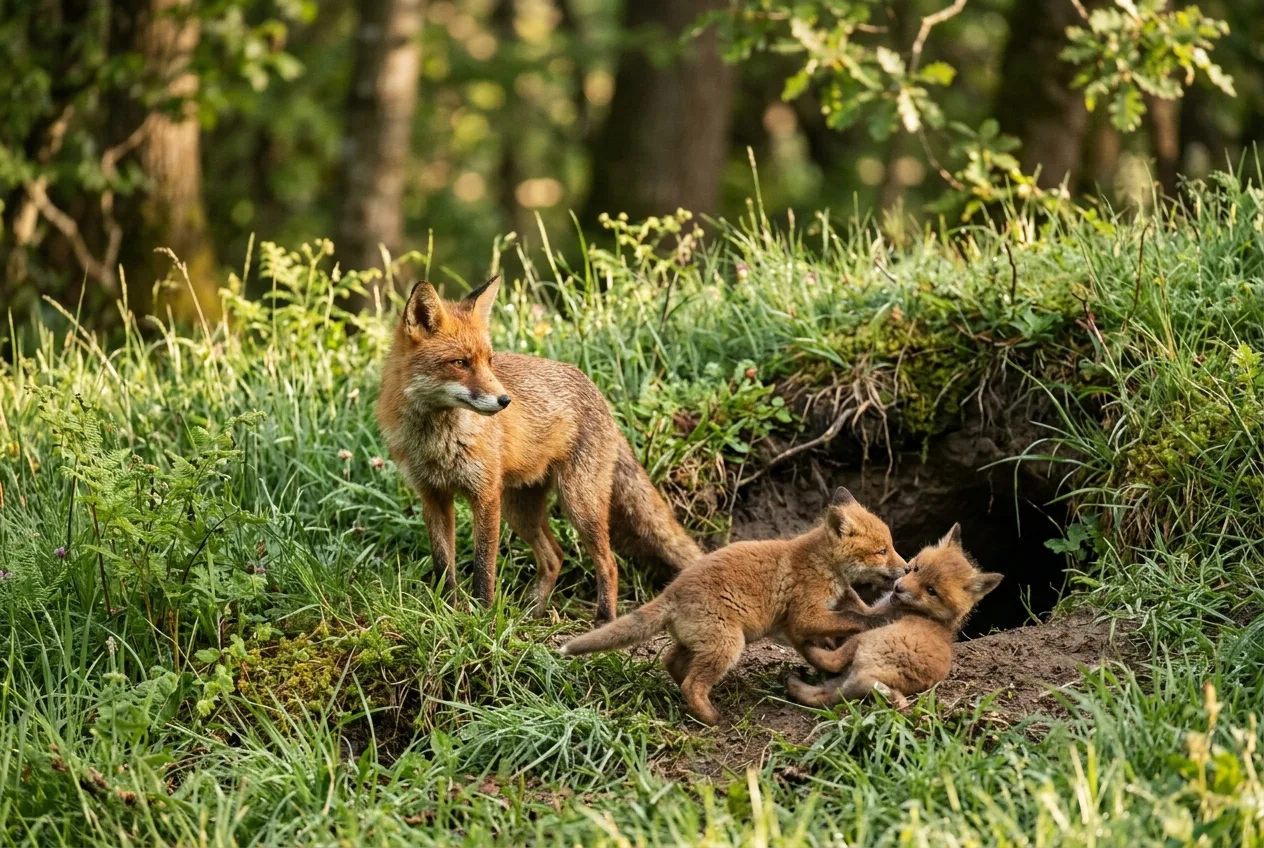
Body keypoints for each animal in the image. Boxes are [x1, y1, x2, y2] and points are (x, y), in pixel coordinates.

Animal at [376, 276, 702, 624]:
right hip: (520, 510)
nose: (505, 400)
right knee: (554, 556)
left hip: (578, 505)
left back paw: (603, 618)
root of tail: (601, 396)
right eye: (460, 363)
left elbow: (483, 567)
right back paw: (534, 612)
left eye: (489, 361)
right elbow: (443, 568)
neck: (438, 443)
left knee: (609, 563)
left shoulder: (485, 495)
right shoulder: (433, 496)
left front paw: (483, 617)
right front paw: (448, 612)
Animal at [558, 488, 907, 725]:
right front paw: (872, 624)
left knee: (672, 663)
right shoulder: (804, 616)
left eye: (891, 545)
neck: (823, 564)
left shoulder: (824, 608)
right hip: (728, 644)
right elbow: (850, 617)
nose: (906, 569)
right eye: (881, 550)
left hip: (701, 642)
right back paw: (713, 719)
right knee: (693, 684)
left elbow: (847, 616)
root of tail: (672, 591)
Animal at [786, 523, 1003, 710]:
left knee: (830, 661)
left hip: (865, 640)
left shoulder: (871, 615)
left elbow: (850, 597)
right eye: (916, 568)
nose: (898, 588)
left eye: (931, 590)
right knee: (821, 696)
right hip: (845, 683)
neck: (926, 614)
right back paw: (792, 682)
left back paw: (805, 647)